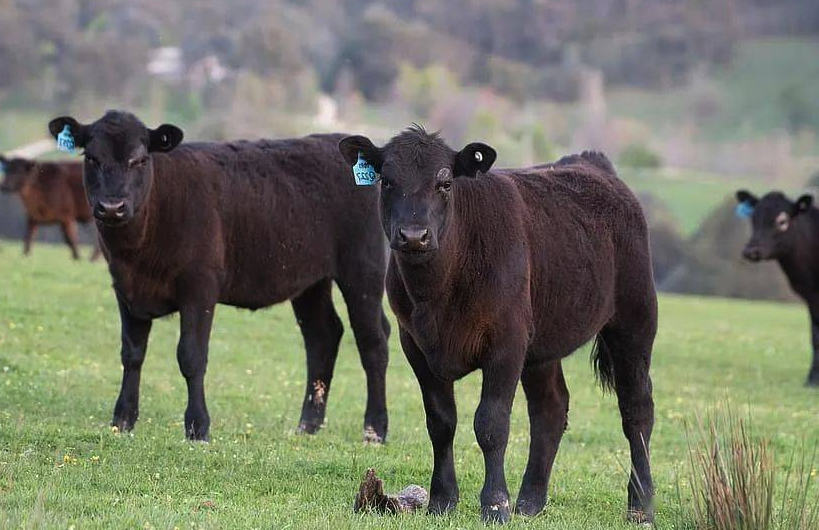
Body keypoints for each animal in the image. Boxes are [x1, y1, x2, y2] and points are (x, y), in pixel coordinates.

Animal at [340, 126, 660, 520]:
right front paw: (442, 500)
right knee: (550, 408)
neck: (438, 293)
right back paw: (530, 501)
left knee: (637, 409)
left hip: (634, 318)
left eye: (445, 183)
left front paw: (494, 504)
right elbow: (440, 422)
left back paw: (640, 505)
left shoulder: (506, 343)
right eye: (386, 181)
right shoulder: (414, 344)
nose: (414, 235)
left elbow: (491, 424)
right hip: (542, 345)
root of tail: (591, 163)